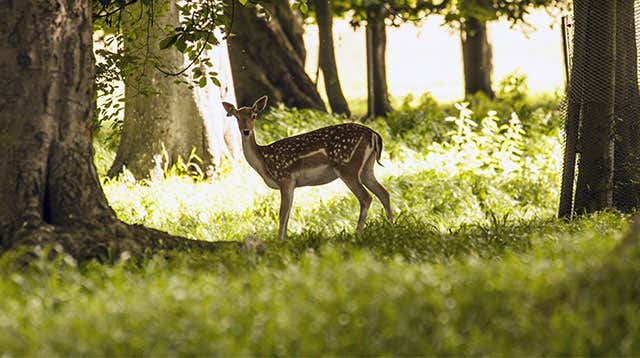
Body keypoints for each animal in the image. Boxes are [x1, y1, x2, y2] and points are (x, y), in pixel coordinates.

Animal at [220, 96, 392, 239]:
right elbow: (288, 213)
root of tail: (374, 135)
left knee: (366, 197)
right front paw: (286, 239)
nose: (246, 131)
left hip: (347, 167)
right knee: (383, 193)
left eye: (254, 115)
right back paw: (391, 225)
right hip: (366, 168)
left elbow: (282, 214)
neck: (264, 162)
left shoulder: (285, 177)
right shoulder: (292, 184)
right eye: (237, 117)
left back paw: (357, 234)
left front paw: (279, 241)